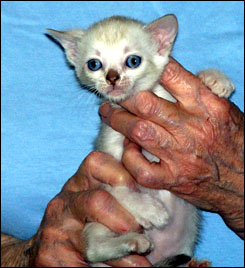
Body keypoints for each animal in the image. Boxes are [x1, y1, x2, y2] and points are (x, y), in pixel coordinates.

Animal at [47, 14, 234, 266]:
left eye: (133, 61)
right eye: (94, 64)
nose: (112, 78)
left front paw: (214, 80)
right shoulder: (106, 152)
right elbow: (116, 189)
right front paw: (148, 210)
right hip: (100, 224)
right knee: (93, 249)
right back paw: (132, 241)